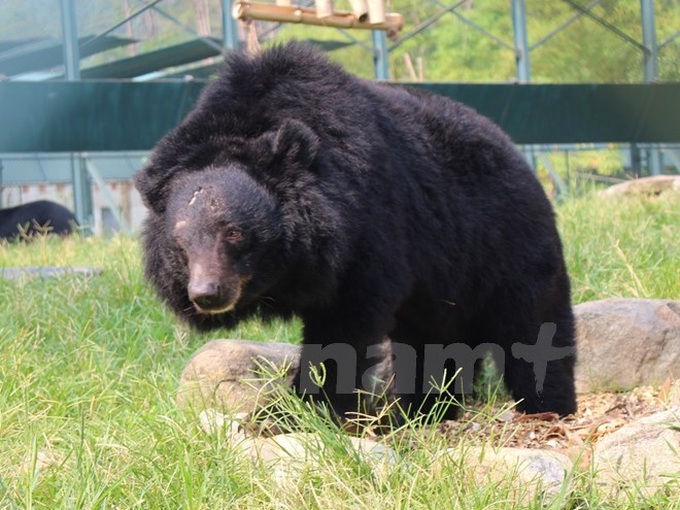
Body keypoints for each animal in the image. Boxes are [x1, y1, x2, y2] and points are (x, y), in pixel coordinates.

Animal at [134, 42, 577, 423]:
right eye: (180, 244)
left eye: (235, 233)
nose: (207, 295)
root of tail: (515, 152)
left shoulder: (369, 229)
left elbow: (344, 327)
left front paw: (302, 412)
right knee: (435, 344)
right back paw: (425, 413)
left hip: (506, 245)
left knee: (534, 330)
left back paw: (548, 408)